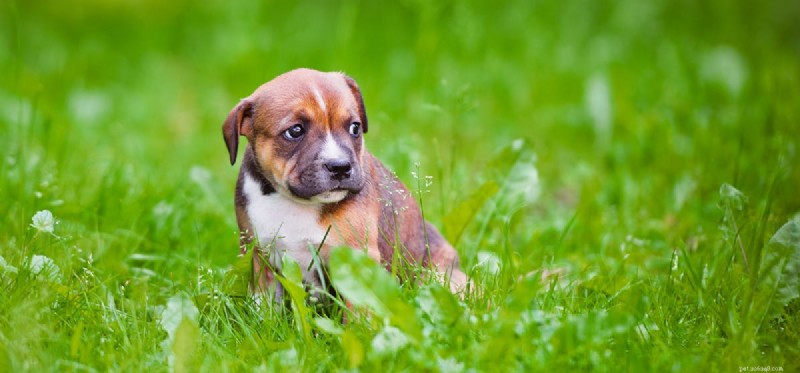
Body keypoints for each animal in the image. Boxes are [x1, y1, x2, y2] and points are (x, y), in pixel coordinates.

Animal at [222, 67, 466, 306]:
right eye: (295, 131)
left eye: (355, 128)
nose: (340, 166)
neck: (296, 203)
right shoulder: (259, 258)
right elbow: (264, 304)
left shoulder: (358, 256)